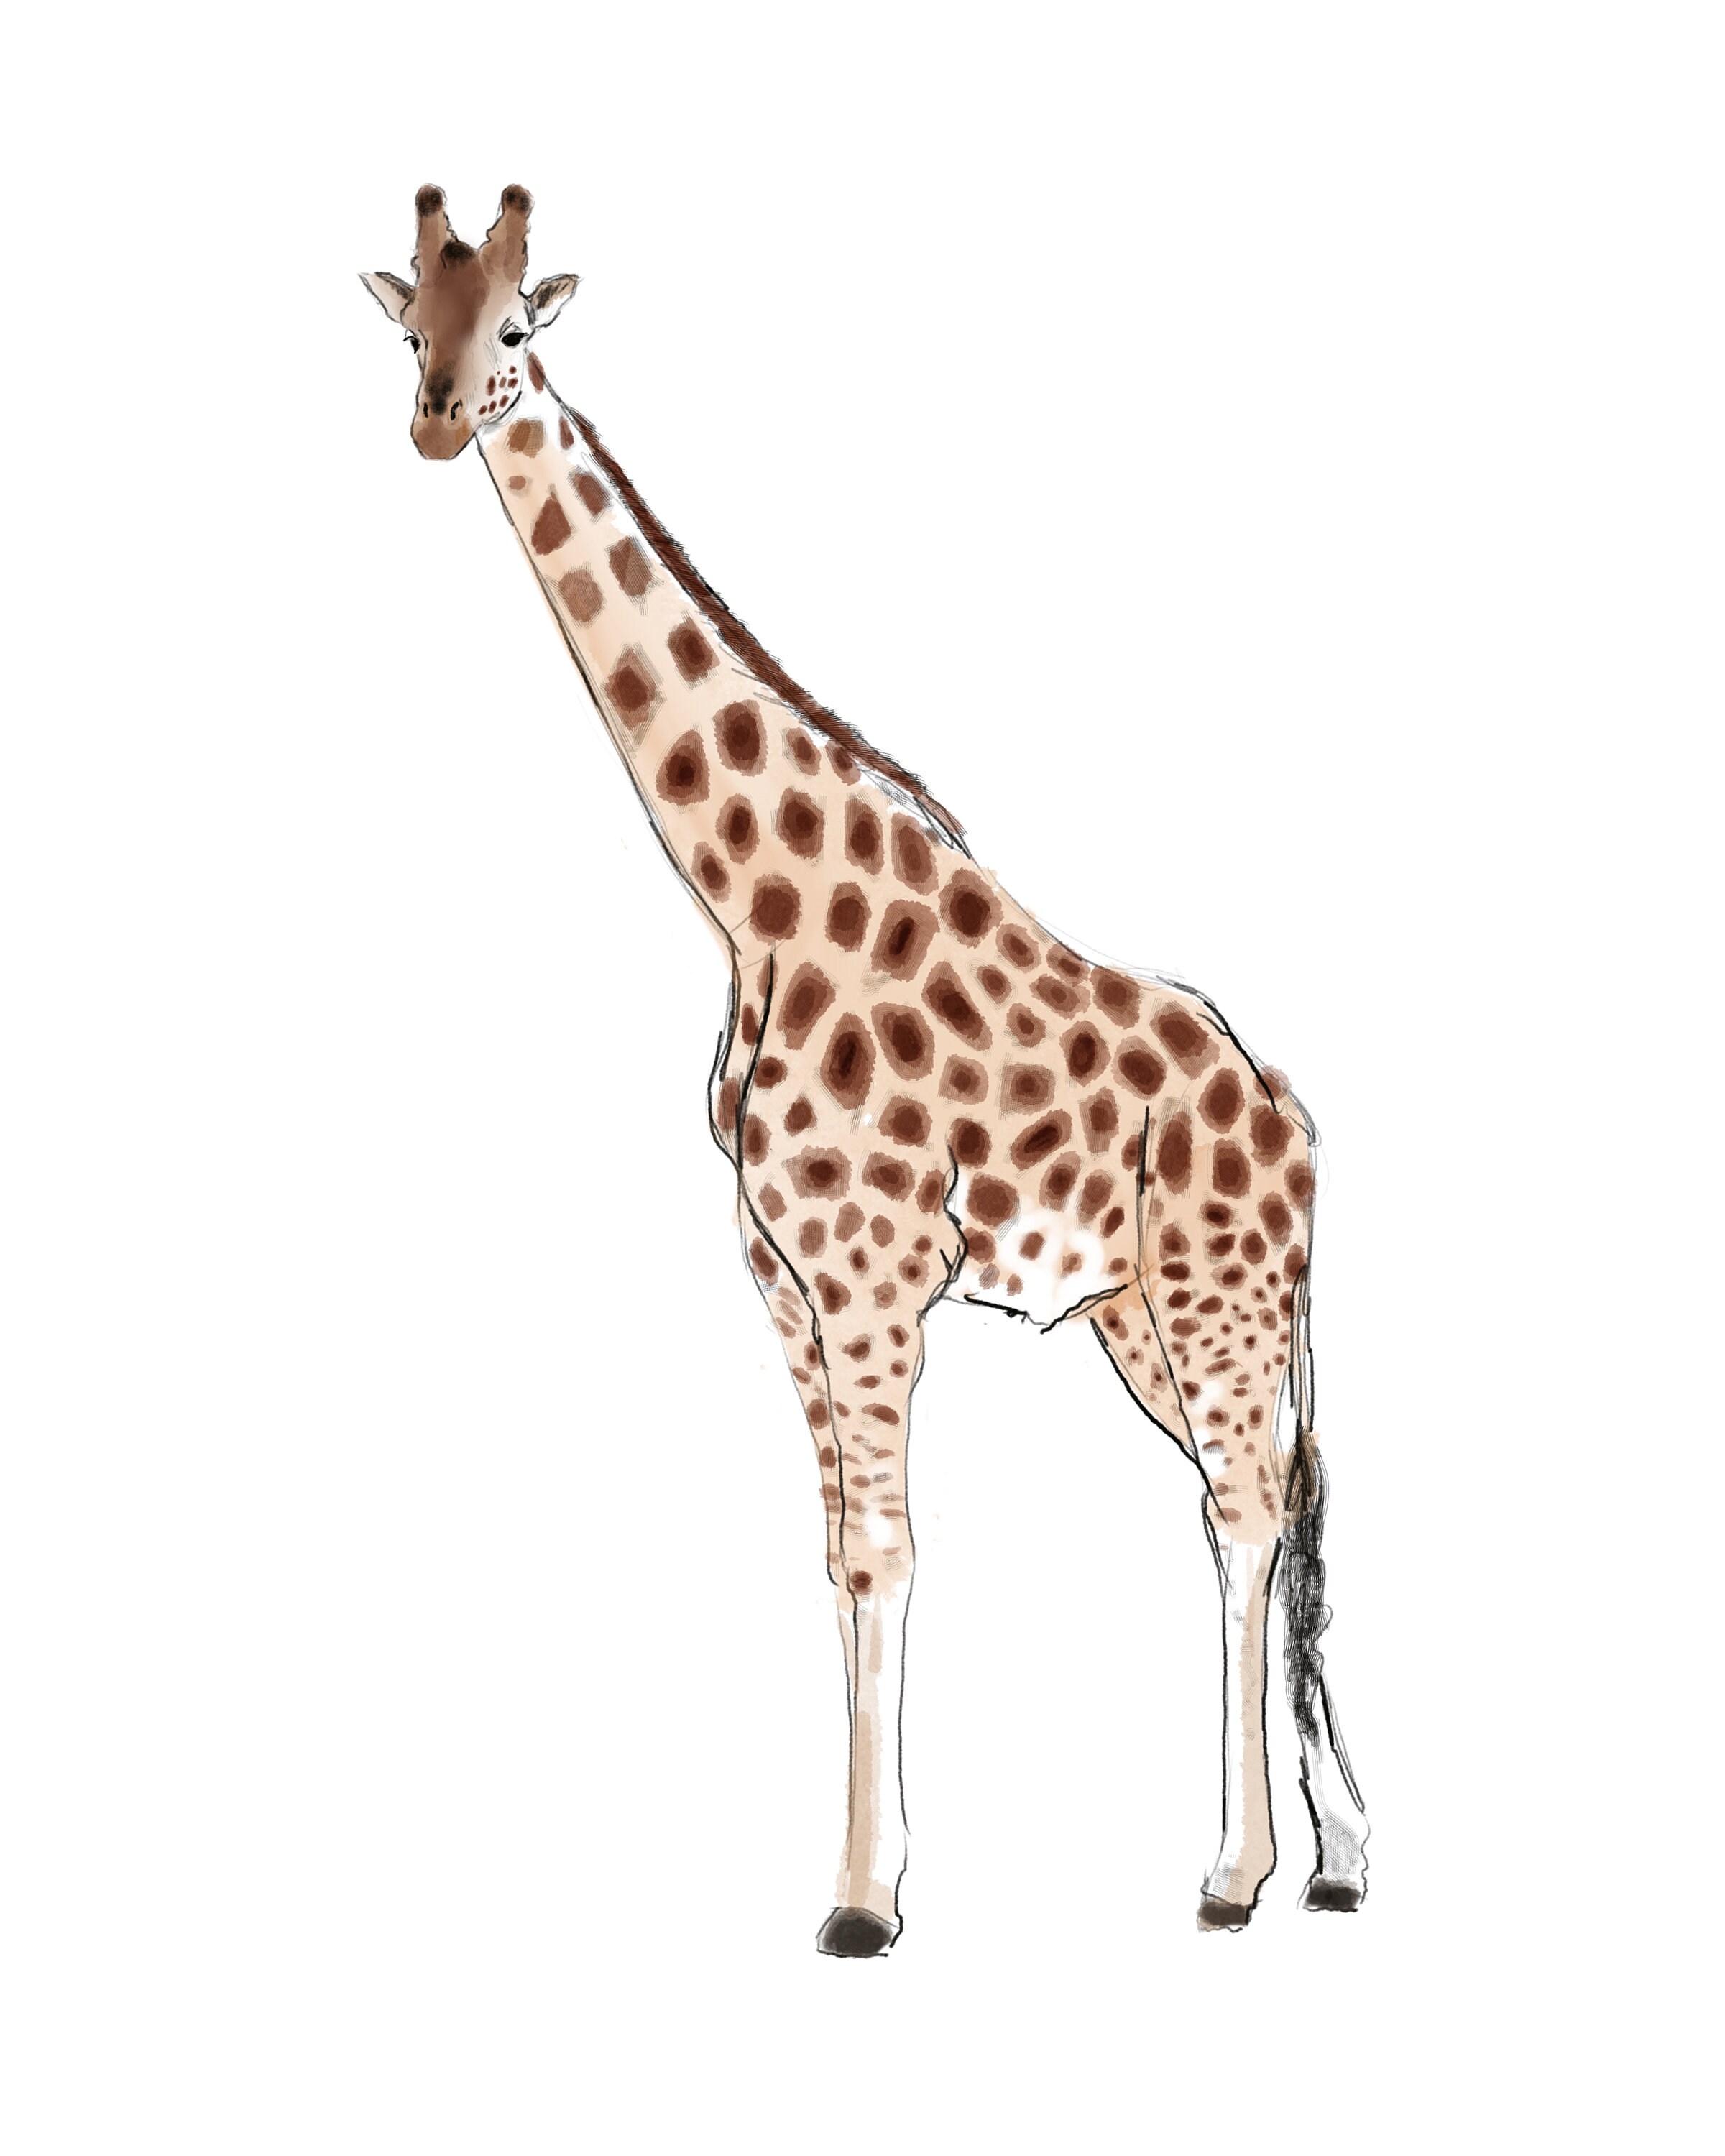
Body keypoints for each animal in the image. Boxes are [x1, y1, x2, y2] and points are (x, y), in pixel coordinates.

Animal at [362, 185, 1369, 1956]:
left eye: (518, 330)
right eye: (413, 317)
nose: (435, 417)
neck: (751, 908)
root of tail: (1293, 1116)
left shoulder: (874, 1269)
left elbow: (888, 1555)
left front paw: (864, 1905)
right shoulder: (781, 1278)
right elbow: (834, 1553)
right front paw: (857, 1879)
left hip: (1220, 1295)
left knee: (1251, 1511)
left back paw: (1238, 1875)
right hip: (1143, 1312)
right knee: (1256, 1506)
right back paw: (1321, 1860)